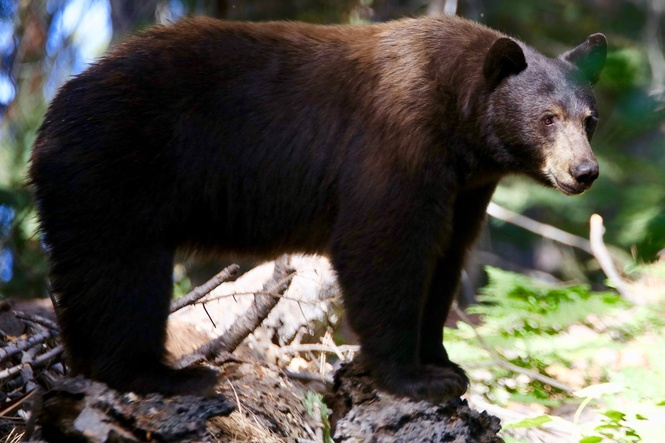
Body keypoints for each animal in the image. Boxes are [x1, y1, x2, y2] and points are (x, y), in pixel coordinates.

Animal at [28, 15, 606, 403]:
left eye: (590, 119)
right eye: (549, 118)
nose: (585, 171)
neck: (460, 123)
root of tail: (52, 114)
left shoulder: (466, 188)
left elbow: (445, 257)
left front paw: (444, 361)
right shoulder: (396, 143)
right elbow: (383, 245)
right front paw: (416, 377)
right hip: (115, 171)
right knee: (119, 275)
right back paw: (160, 374)